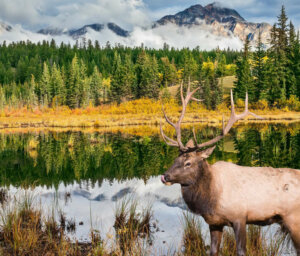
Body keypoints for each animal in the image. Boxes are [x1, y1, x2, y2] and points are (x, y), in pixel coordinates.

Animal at [161, 80, 300, 256]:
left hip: (294, 219)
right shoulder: (214, 222)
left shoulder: (240, 217)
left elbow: (241, 250)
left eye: (188, 163)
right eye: (175, 159)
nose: (165, 176)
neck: (211, 198)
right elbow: (213, 250)